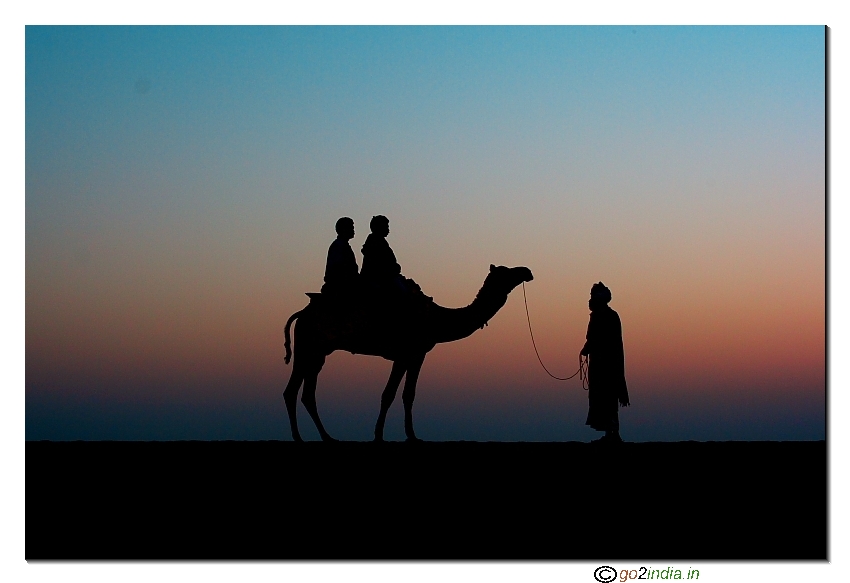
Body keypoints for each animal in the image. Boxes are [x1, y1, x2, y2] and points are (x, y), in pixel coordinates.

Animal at [282, 264, 528, 442]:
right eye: (506, 271)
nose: (527, 271)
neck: (436, 320)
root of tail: (301, 313)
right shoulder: (406, 354)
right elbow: (392, 394)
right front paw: (384, 436)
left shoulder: (414, 356)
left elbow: (404, 394)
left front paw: (406, 435)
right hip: (309, 347)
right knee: (294, 390)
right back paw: (301, 437)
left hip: (317, 352)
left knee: (304, 392)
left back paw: (325, 437)